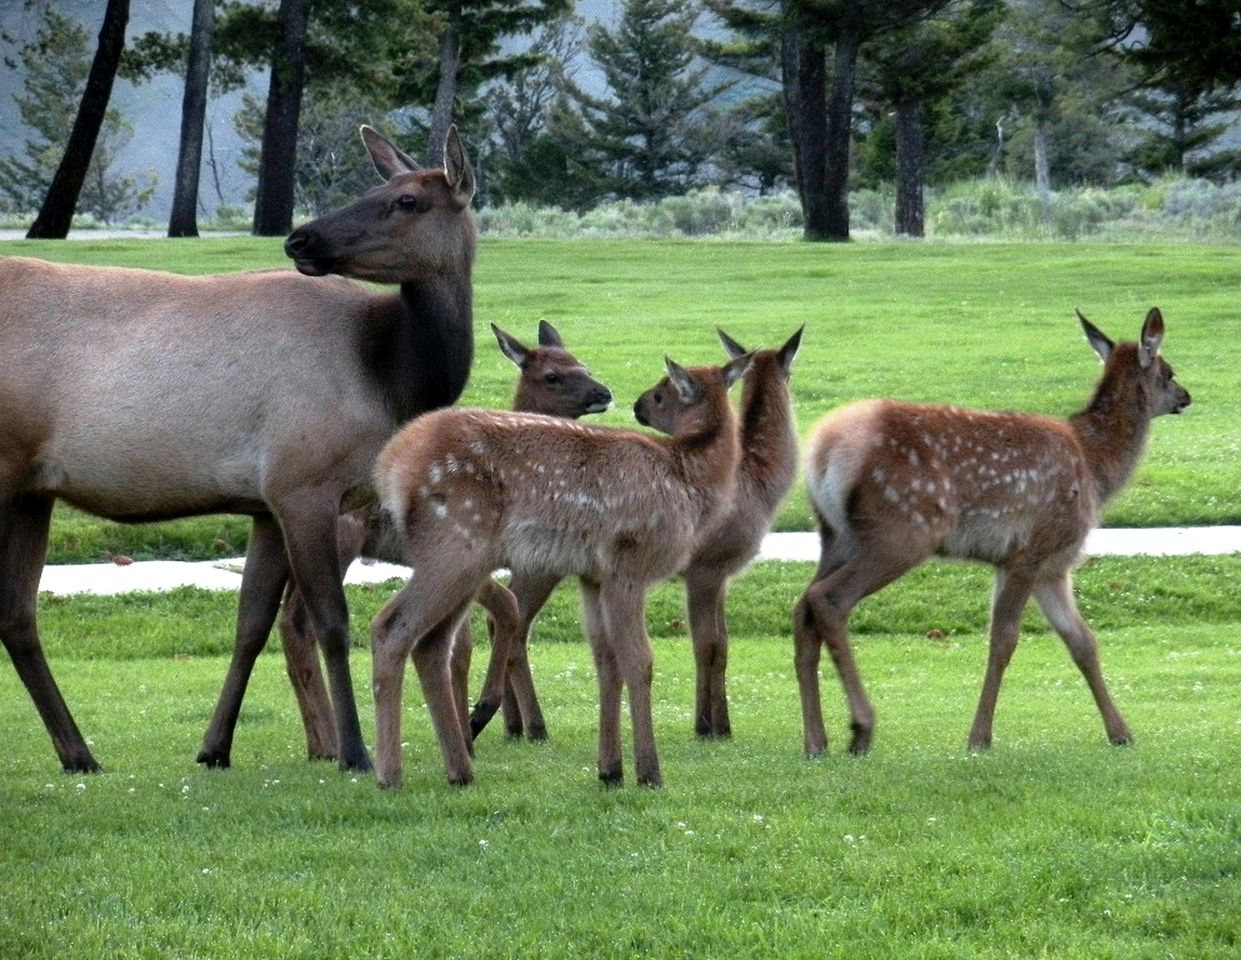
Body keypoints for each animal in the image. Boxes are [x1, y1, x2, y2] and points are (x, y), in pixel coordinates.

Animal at [0, 125, 474, 773]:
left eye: (406, 200)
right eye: (381, 190)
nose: (301, 237)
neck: (391, 376)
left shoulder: (265, 502)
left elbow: (250, 625)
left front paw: (214, 746)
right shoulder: (304, 484)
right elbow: (330, 621)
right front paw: (354, 753)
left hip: (32, 487)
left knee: (17, 614)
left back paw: (78, 753)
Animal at [279, 322, 613, 759]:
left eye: (582, 364)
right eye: (552, 376)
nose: (603, 392)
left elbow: (463, 645)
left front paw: (473, 730)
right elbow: (497, 619)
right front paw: (482, 719)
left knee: (286, 621)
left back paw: (320, 743)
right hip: (341, 542)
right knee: (300, 622)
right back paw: (334, 744)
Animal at [369, 352, 754, 788]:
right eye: (662, 391)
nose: (636, 405)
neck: (686, 478)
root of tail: (390, 466)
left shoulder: (592, 576)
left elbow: (606, 662)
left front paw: (610, 771)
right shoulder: (628, 565)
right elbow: (638, 660)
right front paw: (649, 772)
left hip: (463, 562)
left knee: (432, 645)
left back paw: (460, 770)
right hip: (456, 545)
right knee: (391, 627)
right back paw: (390, 774)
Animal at [794, 308, 1191, 759]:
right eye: (1169, 371)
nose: (1186, 396)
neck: (1095, 468)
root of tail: (822, 453)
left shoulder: (1051, 566)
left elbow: (1082, 642)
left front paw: (1121, 732)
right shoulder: (1030, 549)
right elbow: (1003, 639)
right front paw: (979, 737)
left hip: (833, 535)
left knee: (802, 607)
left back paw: (815, 740)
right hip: (901, 531)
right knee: (828, 600)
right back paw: (861, 727)